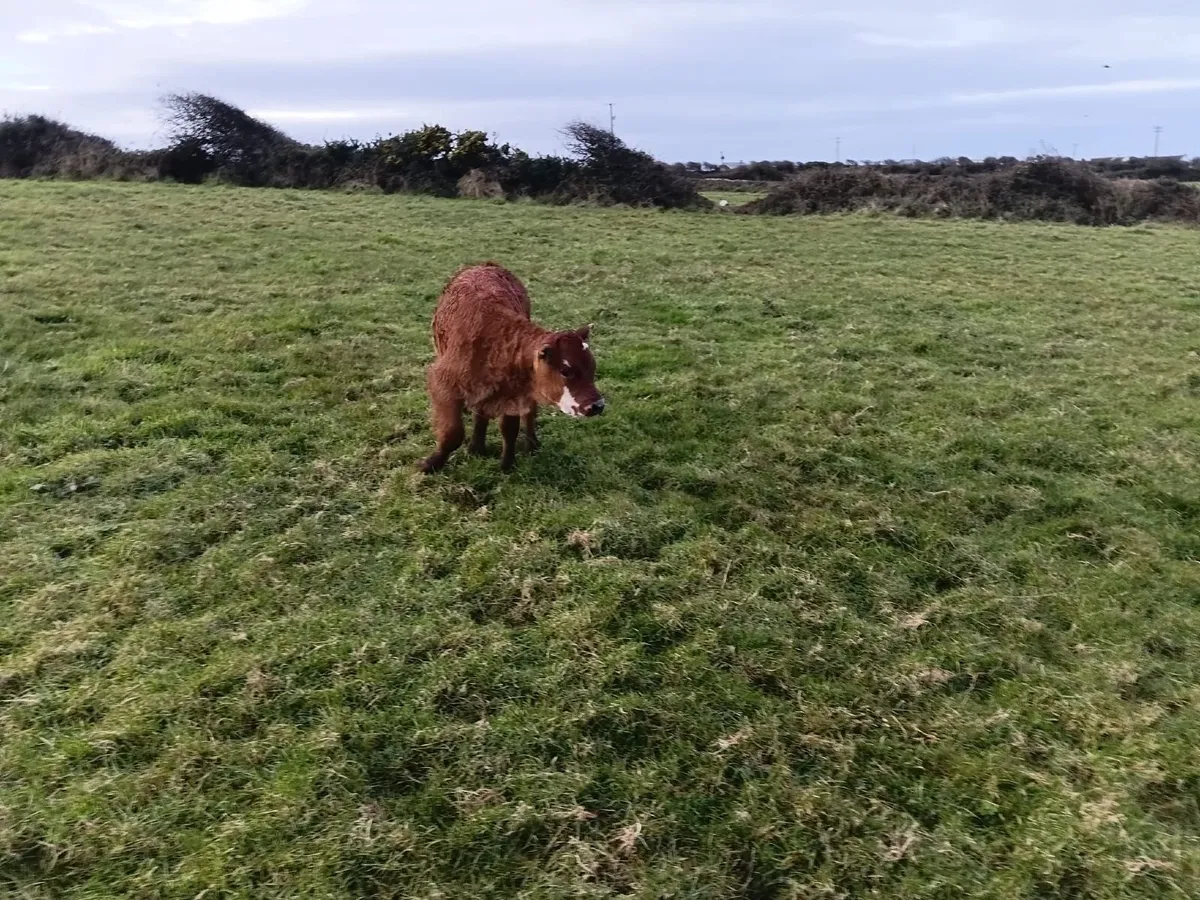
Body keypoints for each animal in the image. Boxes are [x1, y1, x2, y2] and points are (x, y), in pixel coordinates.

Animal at [418, 262, 605, 474]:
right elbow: (453, 433)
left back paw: (528, 444)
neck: (495, 343)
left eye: (592, 368)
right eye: (566, 371)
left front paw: (507, 465)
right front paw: (430, 464)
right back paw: (477, 447)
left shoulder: (514, 395)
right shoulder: (443, 385)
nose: (598, 405)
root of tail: (485, 265)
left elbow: (509, 428)